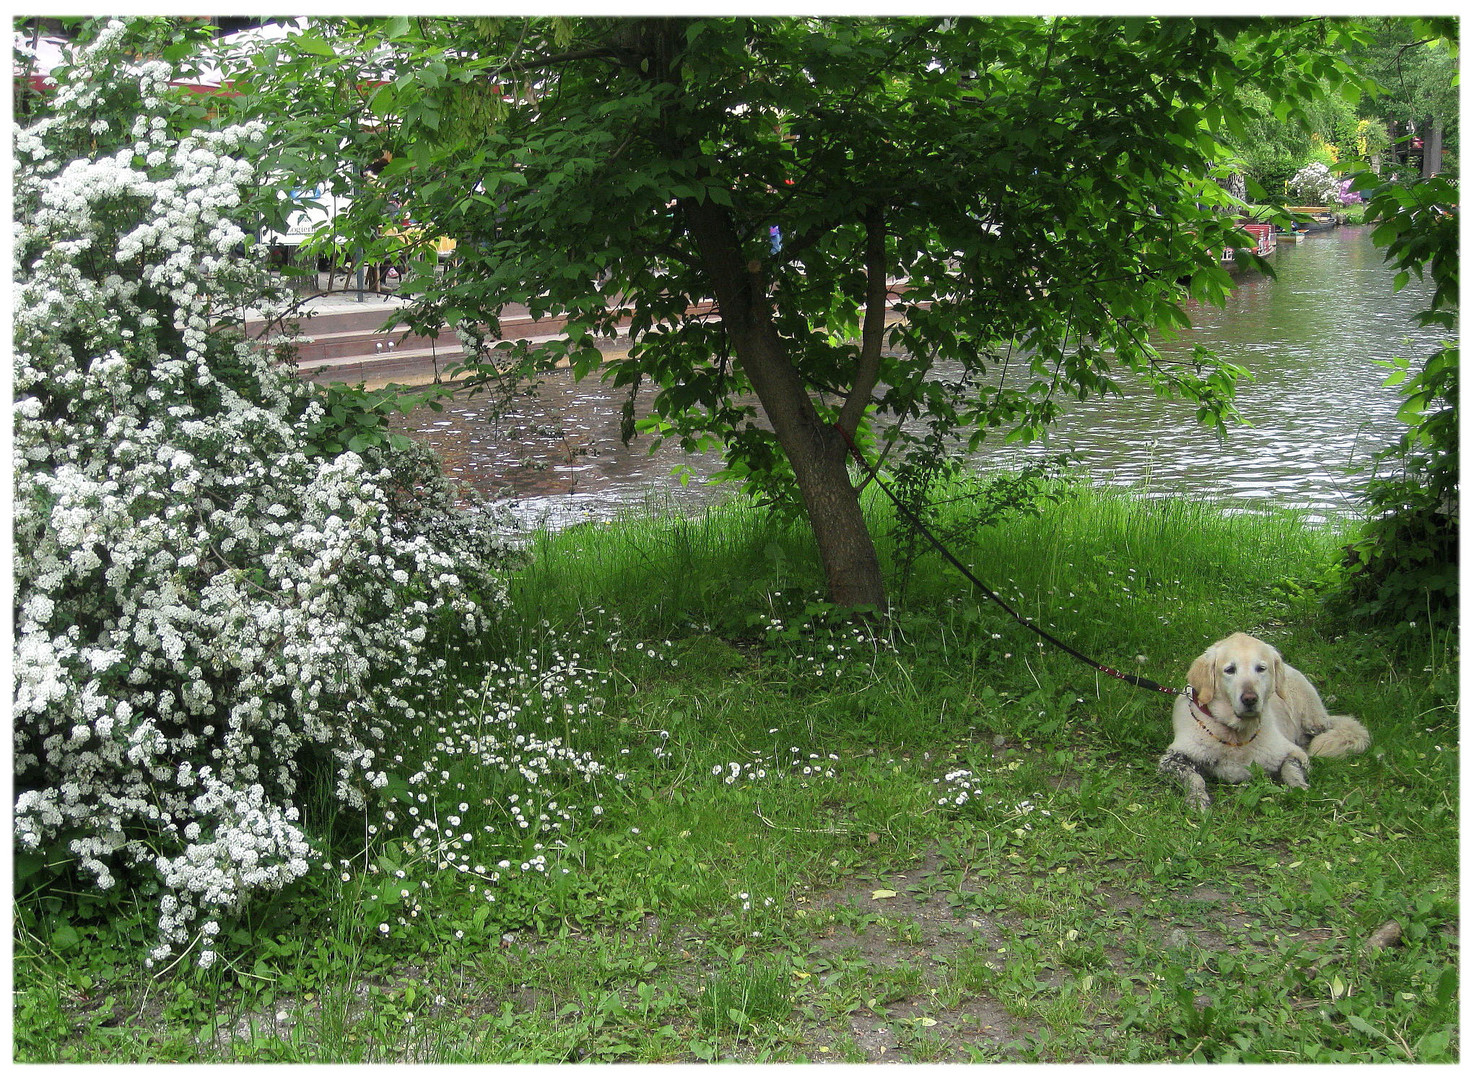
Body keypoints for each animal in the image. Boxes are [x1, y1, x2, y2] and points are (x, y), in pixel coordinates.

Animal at [1157, 632, 1364, 809]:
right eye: (1230, 670)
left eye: (1261, 669)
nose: (1250, 699)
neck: (1235, 736)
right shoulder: (1171, 759)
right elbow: (1194, 777)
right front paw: (1197, 798)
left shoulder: (1295, 753)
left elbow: (1290, 769)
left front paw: (1300, 788)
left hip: (1313, 720)